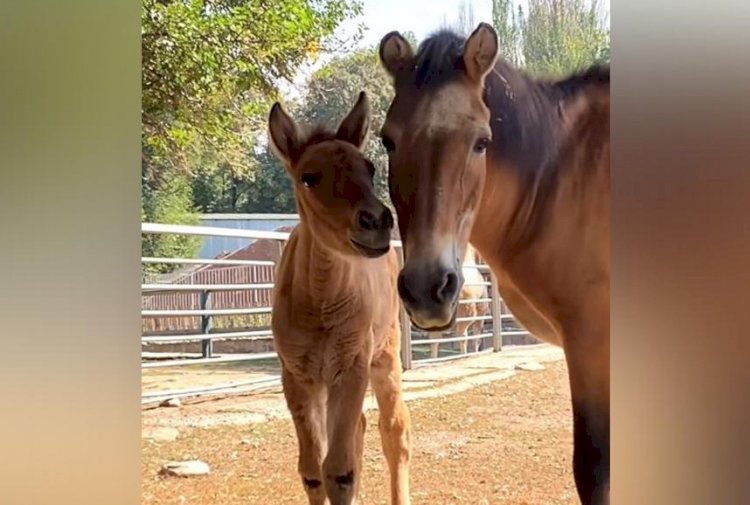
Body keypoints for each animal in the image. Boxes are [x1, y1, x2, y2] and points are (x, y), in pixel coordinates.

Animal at [268, 91, 412, 504]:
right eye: (308, 177)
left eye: (370, 168)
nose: (377, 221)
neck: (319, 303)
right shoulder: (297, 375)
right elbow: (312, 470)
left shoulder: (352, 366)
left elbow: (339, 471)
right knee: (359, 432)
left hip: (385, 355)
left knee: (394, 430)